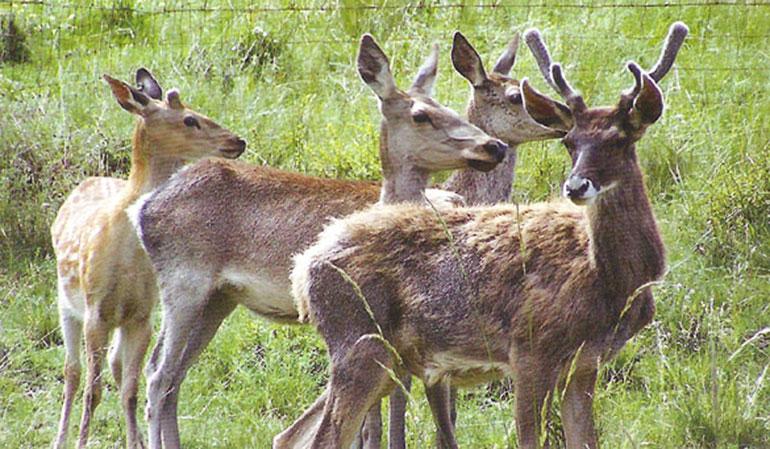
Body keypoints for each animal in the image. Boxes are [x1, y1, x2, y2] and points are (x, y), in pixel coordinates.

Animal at [51, 67, 243, 448]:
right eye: (189, 119)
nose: (237, 141)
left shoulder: (142, 315)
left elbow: (130, 390)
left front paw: (135, 441)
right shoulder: (96, 311)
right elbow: (93, 392)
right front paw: (82, 441)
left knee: (114, 366)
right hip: (67, 305)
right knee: (72, 373)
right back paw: (60, 439)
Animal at [134, 34, 510, 448]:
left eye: (449, 105)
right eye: (421, 115)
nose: (493, 146)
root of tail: (142, 209)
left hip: (218, 299)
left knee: (173, 378)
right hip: (184, 283)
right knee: (158, 374)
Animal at [284, 21, 688, 448]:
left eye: (620, 139)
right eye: (570, 142)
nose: (576, 186)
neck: (610, 279)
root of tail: (304, 267)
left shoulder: (584, 365)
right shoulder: (530, 349)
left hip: (387, 357)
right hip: (360, 340)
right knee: (324, 437)